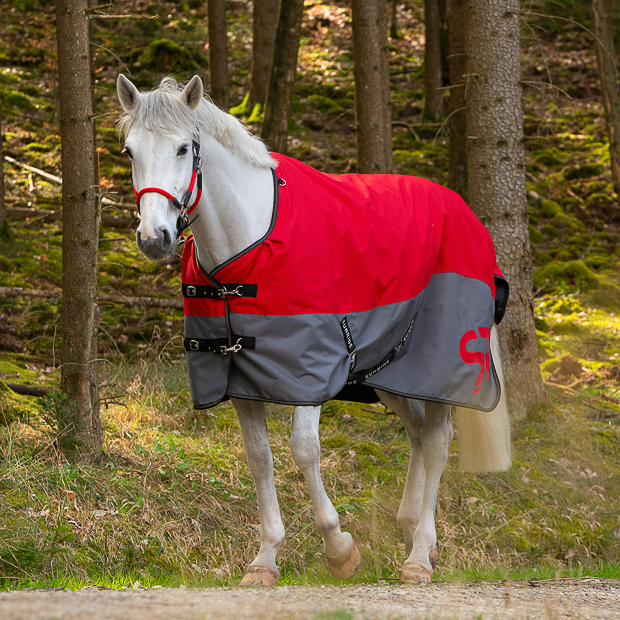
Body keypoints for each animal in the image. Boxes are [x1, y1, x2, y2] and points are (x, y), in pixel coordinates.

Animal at [115, 74, 508, 588]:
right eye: (129, 151)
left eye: (183, 148)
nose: (153, 238)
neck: (248, 245)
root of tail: (462, 208)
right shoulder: (240, 381)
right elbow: (259, 458)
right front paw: (265, 559)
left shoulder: (310, 373)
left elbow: (303, 451)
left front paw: (339, 549)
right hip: (389, 373)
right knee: (420, 435)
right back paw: (413, 534)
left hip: (436, 367)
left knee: (438, 441)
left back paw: (420, 553)